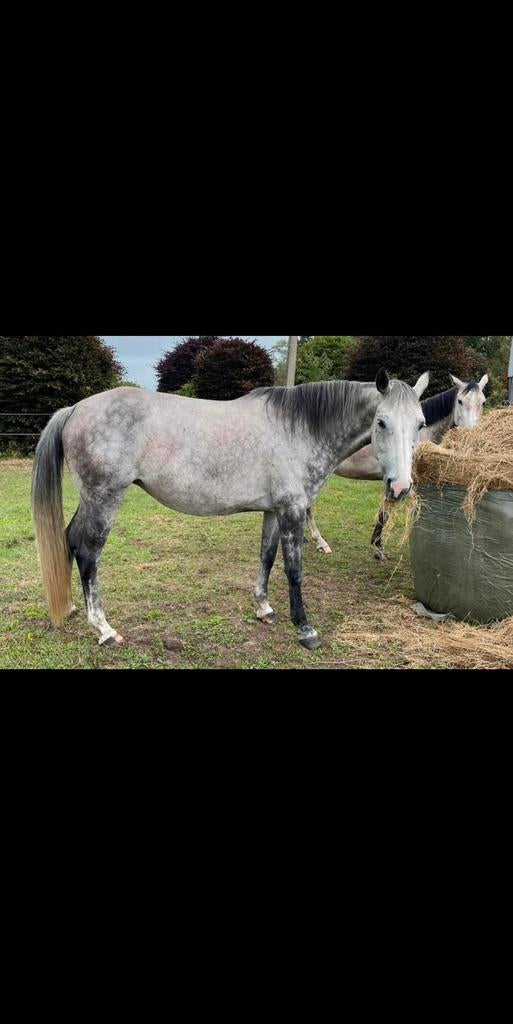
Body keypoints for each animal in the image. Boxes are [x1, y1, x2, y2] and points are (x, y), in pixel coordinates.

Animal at [31, 369, 429, 653]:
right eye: (381, 422)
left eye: (421, 424)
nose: (400, 487)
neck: (299, 429)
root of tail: (76, 409)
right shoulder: (293, 510)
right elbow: (294, 570)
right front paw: (305, 629)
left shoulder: (273, 511)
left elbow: (266, 557)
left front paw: (264, 609)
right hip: (104, 499)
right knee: (88, 553)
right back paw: (104, 629)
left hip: (91, 500)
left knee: (68, 540)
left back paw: (71, 609)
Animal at [306, 373, 489, 559]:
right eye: (460, 401)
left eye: (483, 402)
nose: (472, 436)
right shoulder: (400, 482)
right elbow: (386, 511)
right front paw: (378, 548)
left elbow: (386, 510)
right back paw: (321, 543)